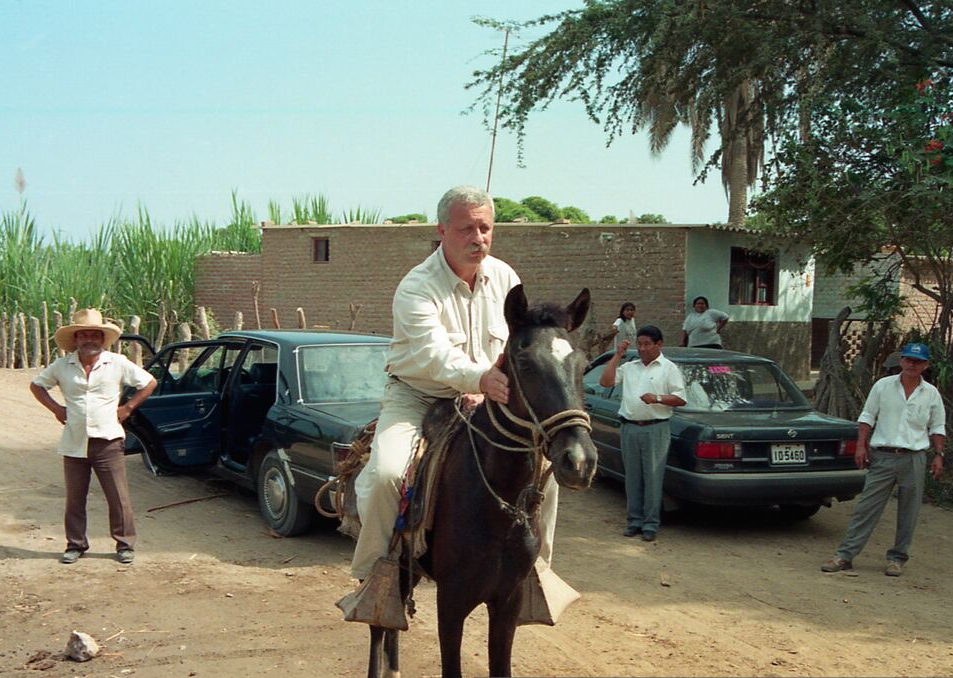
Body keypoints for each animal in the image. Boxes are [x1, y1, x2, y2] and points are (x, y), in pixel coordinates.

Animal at [368, 286, 600, 678]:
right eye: (525, 364)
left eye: (582, 366)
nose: (580, 460)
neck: (499, 508)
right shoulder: (451, 602)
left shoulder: (507, 602)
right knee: (377, 621)